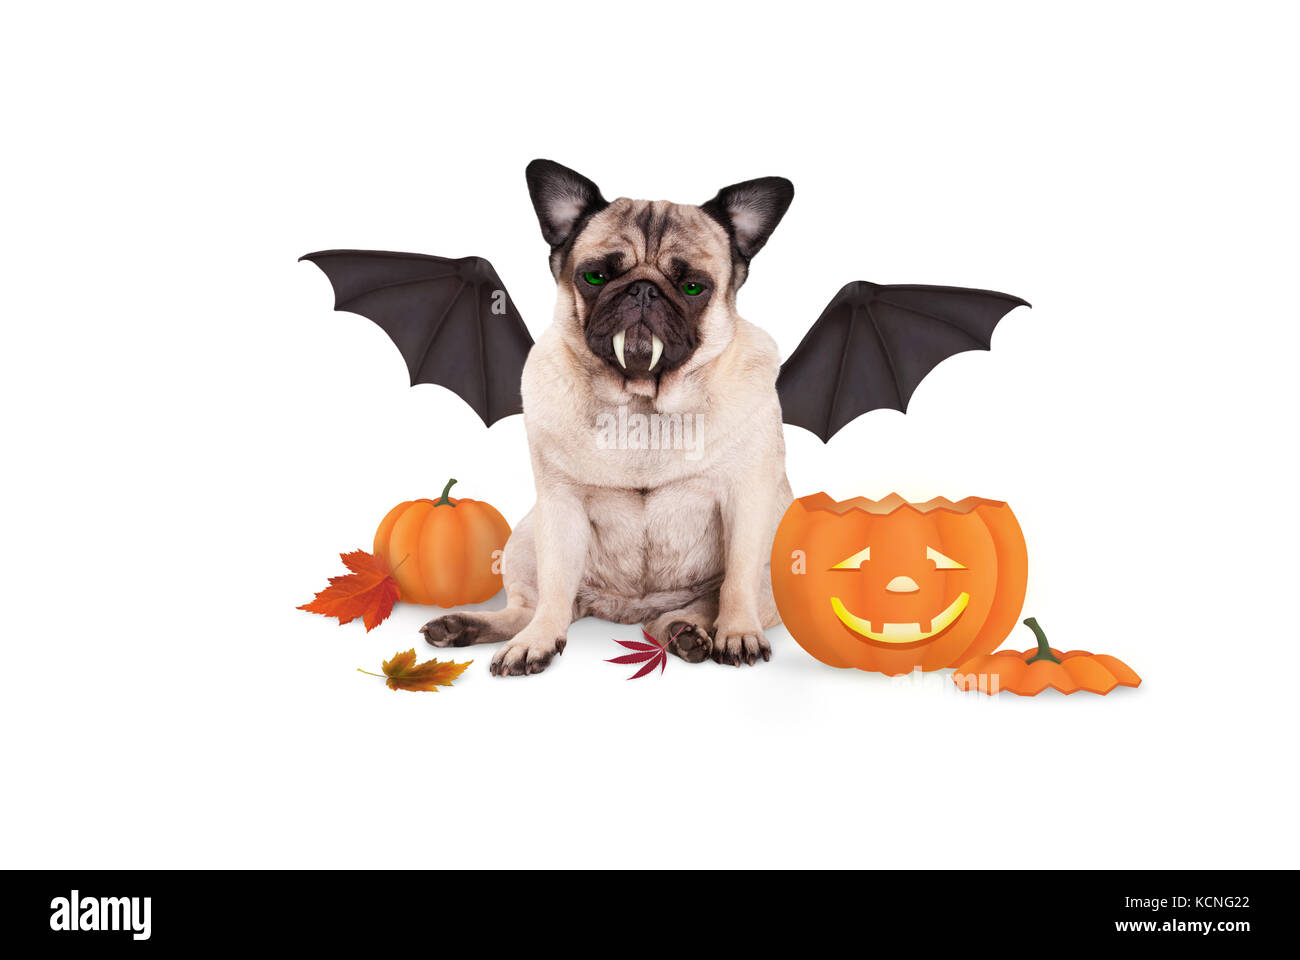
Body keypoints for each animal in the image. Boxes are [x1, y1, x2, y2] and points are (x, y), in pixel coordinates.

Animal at [423, 160, 790, 671]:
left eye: (694, 287)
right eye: (595, 277)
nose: (643, 290)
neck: (640, 402)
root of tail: (626, 610)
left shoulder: (746, 500)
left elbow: (737, 581)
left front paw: (737, 633)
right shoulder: (560, 506)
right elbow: (554, 586)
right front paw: (537, 642)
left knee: (701, 604)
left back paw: (686, 631)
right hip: (525, 540)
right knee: (533, 606)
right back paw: (470, 627)